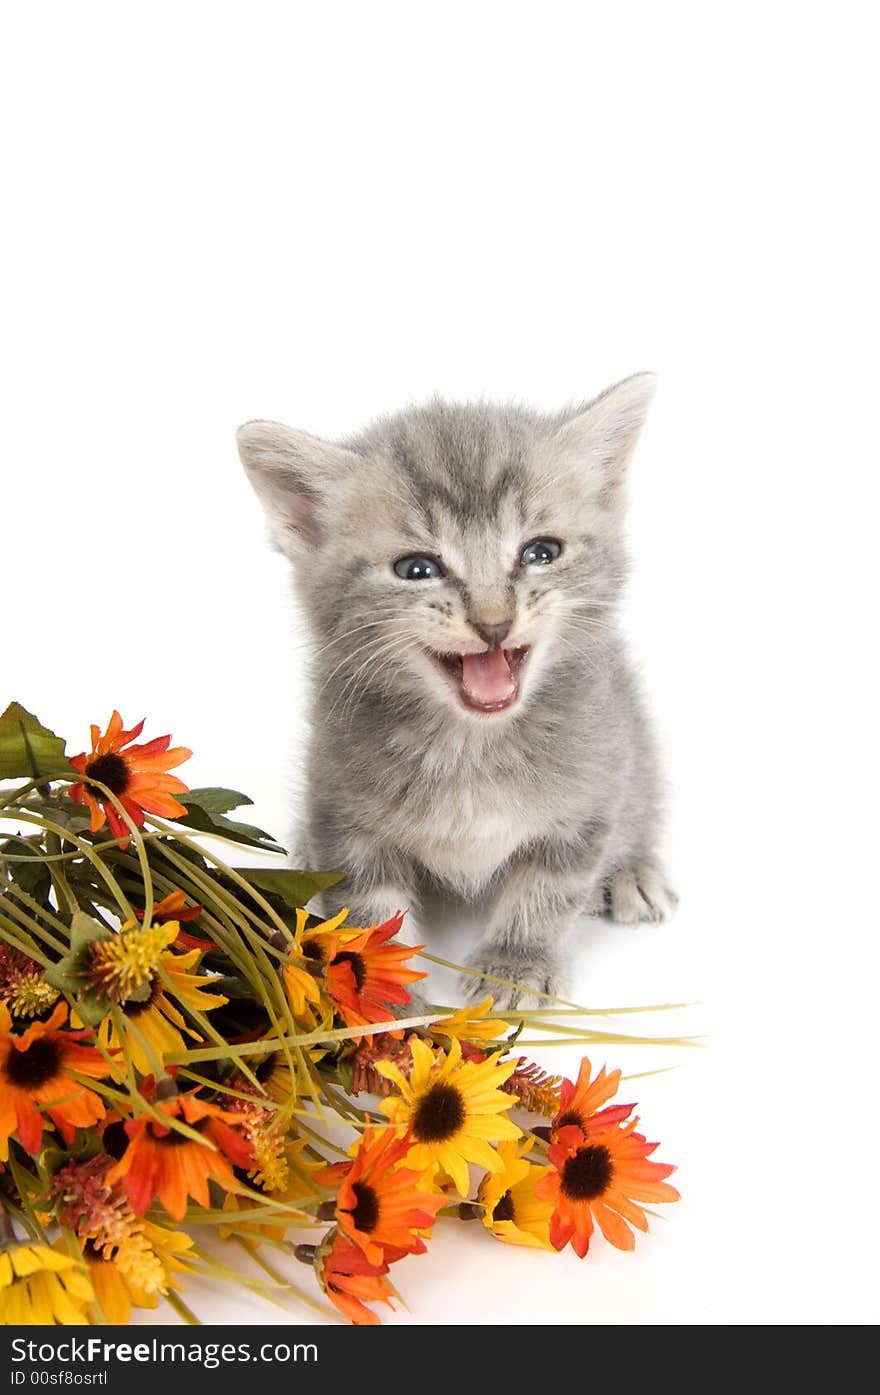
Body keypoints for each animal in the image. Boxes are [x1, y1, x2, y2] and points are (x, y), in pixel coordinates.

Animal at [234, 371, 674, 1004]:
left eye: (541, 552)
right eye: (417, 569)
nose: (493, 622)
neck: (471, 744)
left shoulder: (589, 793)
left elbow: (548, 888)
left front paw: (517, 963)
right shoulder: (339, 808)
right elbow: (368, 904)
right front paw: (382, 993)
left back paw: (632, 871)